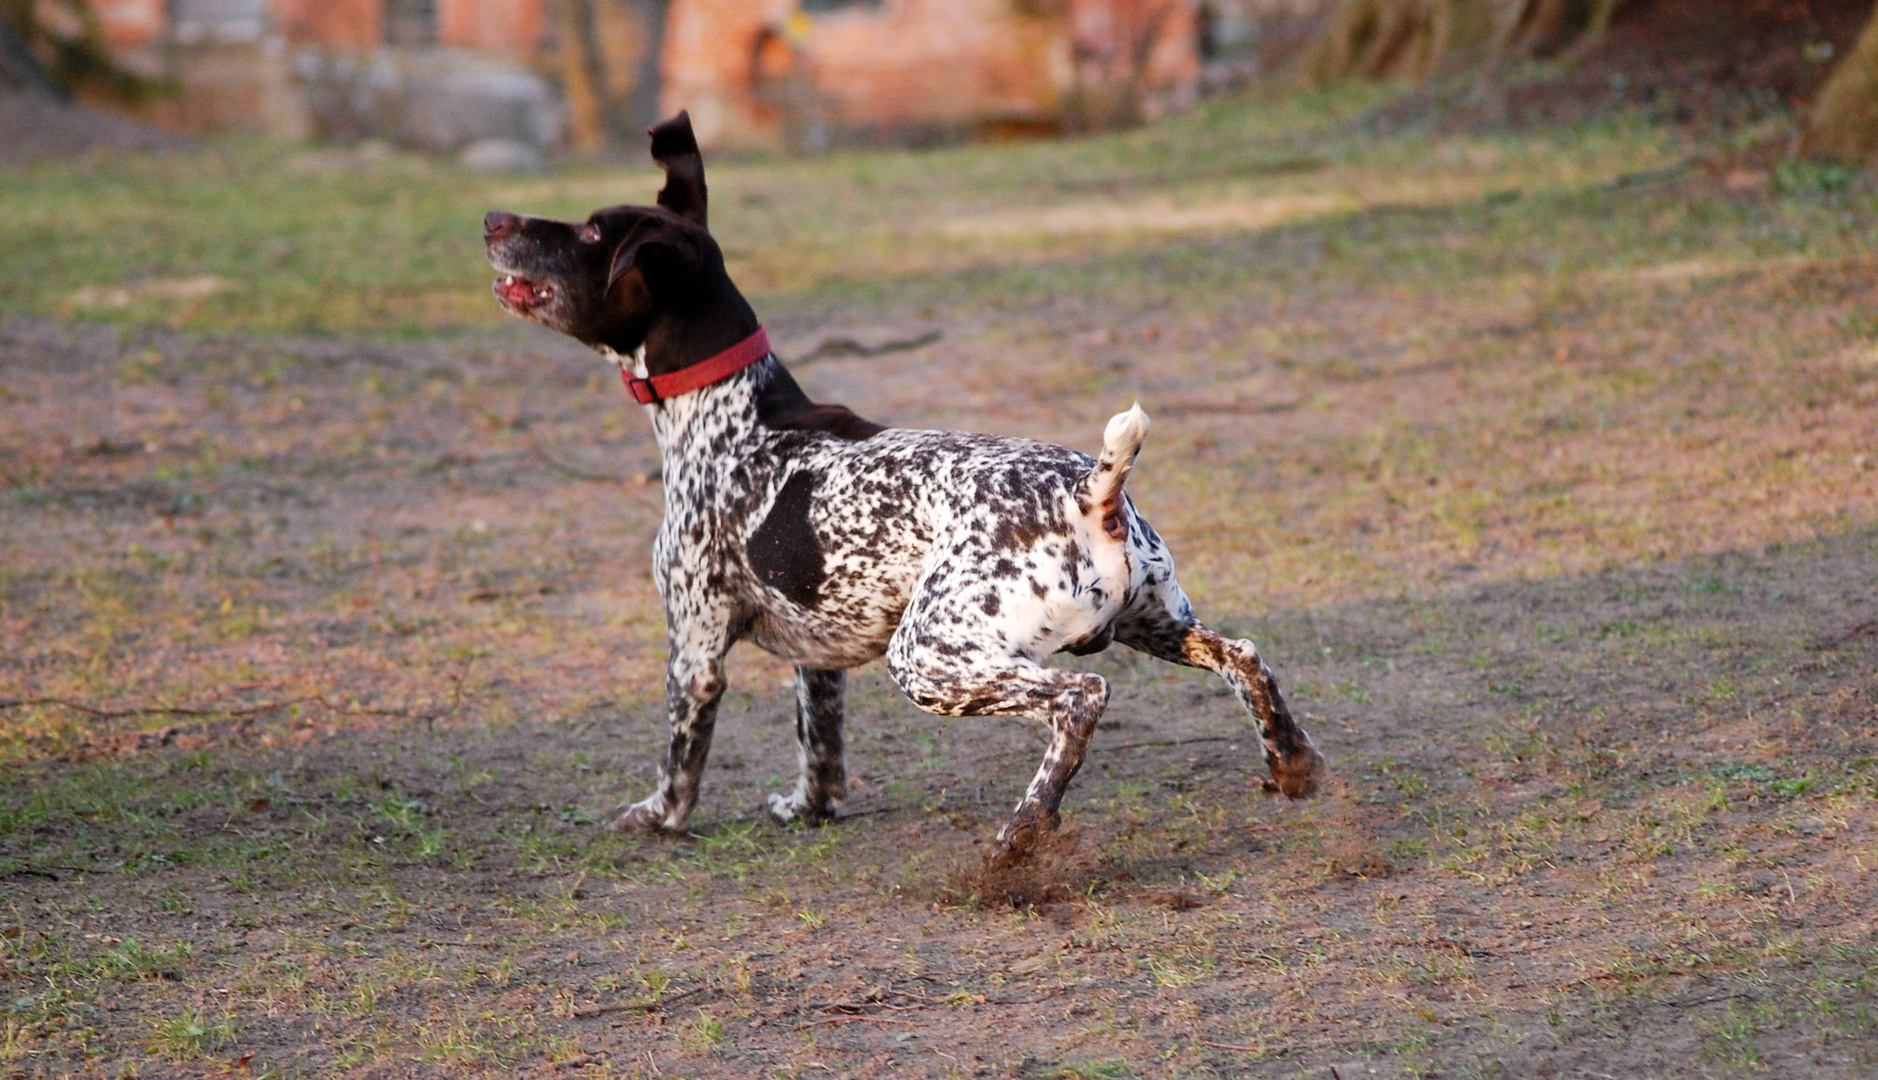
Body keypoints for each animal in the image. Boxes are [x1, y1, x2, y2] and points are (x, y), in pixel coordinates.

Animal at [488, 114, 1337, 856]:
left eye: (591, 234)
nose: (494, 218)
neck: (730, 408)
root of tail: (1090, 495)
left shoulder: (694, 646)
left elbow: (680, 763)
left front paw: (655, 817)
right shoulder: (819, 658)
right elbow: (819, 750)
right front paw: (807, 809)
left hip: (933, 657)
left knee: (1079, 700)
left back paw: (1023, 835)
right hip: (1150, 623)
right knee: (1244, 657)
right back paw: (1292, 762)